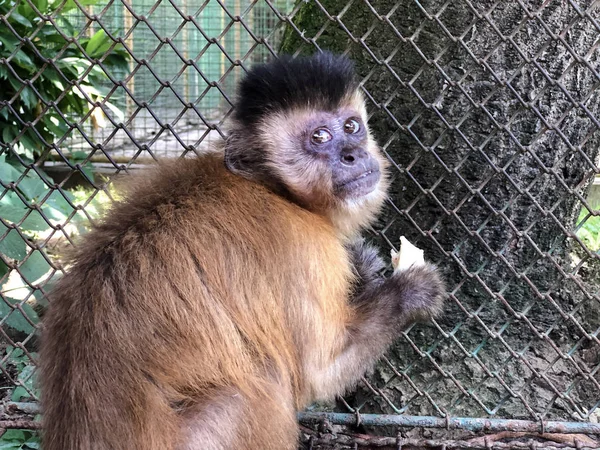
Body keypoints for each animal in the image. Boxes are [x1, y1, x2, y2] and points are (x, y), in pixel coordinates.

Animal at [39, 53, 442, 450]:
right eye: (320, 136)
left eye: (352, 126)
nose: (353, 153)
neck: (273, 188)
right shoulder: (302, 245)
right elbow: (320, 374)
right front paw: (409, 292)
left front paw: (363, 268)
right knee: (258, 384)